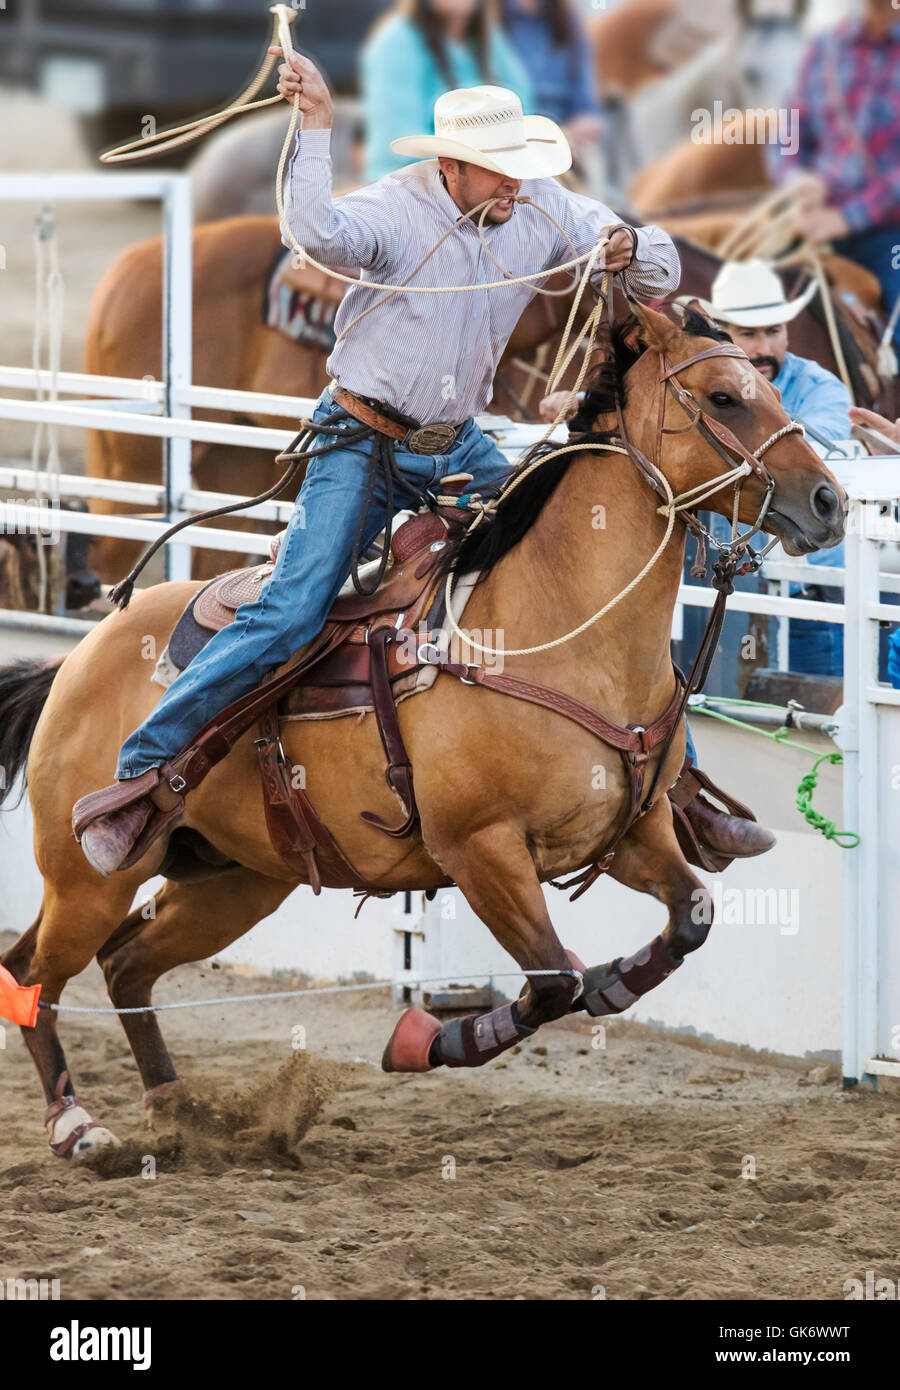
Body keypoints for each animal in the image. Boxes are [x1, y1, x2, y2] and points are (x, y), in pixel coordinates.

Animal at [0, 307, 845, 1162]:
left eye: (771, 388)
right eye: (724, 396)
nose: (831, 501)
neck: (558, 635)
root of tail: (76, 659)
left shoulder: (634, 831)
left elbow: (688, 920)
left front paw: (613, 979)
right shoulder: (481, 850)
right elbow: (553, 981)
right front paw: (426, 1041)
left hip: (234, 879)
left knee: (127, 965)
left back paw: (178, 1111)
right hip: (88, 881)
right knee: (33, 969)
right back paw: (77, 1122)